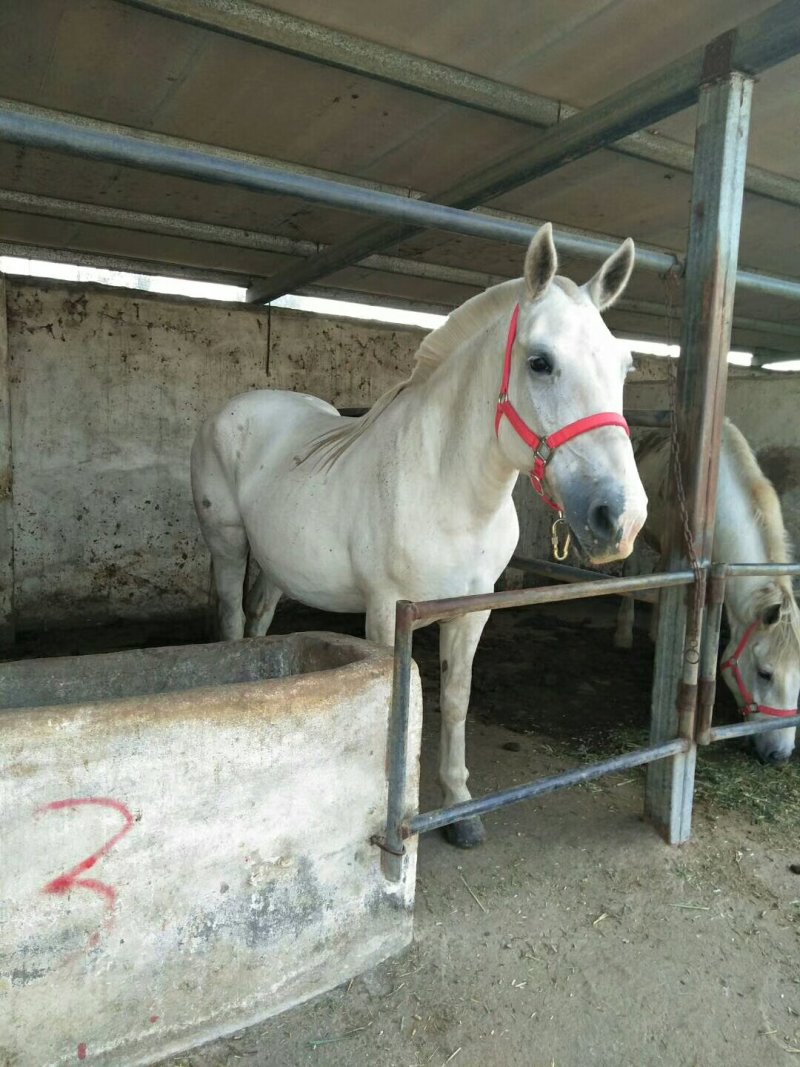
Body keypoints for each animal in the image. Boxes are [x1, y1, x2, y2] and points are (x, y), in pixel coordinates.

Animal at [191, 224, 648, 848]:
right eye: (540, 362)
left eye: (625, 367)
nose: (620, 518)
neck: (448, 492)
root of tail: (236, 408)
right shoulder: (387, 613)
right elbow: (400, 705)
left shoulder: (471, 610)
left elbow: (455, 701)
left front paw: (461, 809)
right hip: (229, 545)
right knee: (234, 619)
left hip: (278, 561)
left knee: (259, 616)